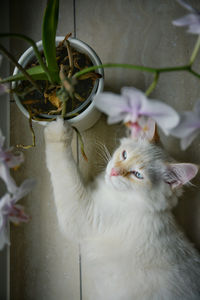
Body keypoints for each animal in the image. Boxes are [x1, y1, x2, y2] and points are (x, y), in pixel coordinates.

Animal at [44, 118, 200, 300]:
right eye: (124, 155)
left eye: (137, 175)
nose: (113, 171)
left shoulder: (83, 213)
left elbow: (64, 167)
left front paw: (58, 130)